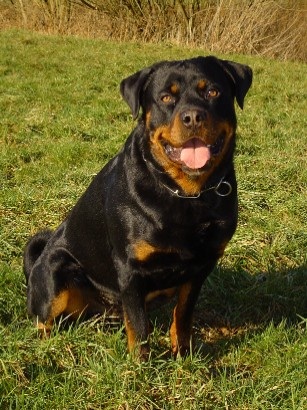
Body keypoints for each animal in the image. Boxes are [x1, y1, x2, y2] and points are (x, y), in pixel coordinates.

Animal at [24, 56, 253, 358]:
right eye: (166, 97)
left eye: (213, 92)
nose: (192, 117)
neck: (187, 195)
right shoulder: (130, 269)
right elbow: (139, 327)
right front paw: (140, 365)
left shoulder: (202, 266)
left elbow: (183, 314)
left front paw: (182, 354)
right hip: (56, 271)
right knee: (44, 320)